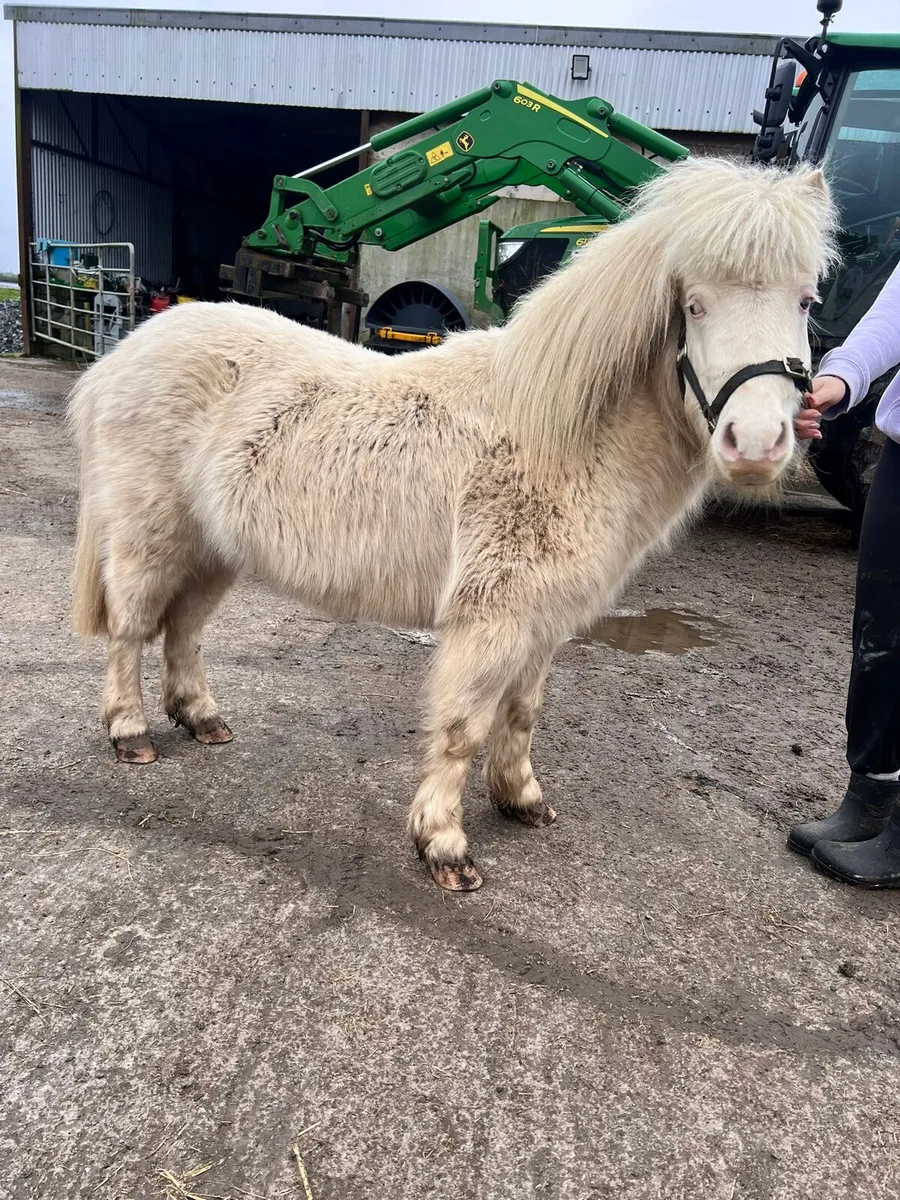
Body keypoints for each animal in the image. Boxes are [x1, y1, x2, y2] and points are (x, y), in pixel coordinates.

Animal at [68, 158, 837, 892]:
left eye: (804, 300)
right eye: (695, 305)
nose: (758, 443)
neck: (558, 431)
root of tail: (123, 356)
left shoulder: (542, 621)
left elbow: (522, 713)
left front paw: (521, 799)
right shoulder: (492, 618)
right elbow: (465, 728)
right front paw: (443, 843)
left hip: (213, 548)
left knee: (184, 629)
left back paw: (202, 718)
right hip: (149, 535)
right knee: (133, 627)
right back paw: (130, 731)